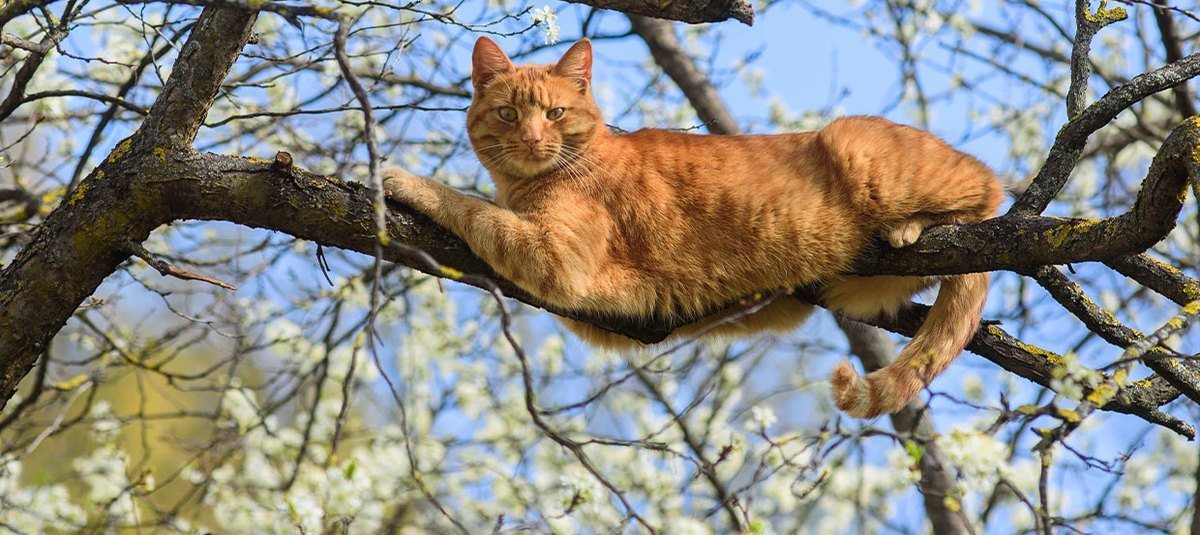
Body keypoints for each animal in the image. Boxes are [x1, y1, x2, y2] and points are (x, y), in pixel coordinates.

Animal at [384, 37, 1003, 417]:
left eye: (555, 113)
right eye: (509, 114)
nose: (533, 139)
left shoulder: (556, 258)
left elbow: (470, 207)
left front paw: (399, 178)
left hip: (857, 146)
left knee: (988, 188)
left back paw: (913, 226)